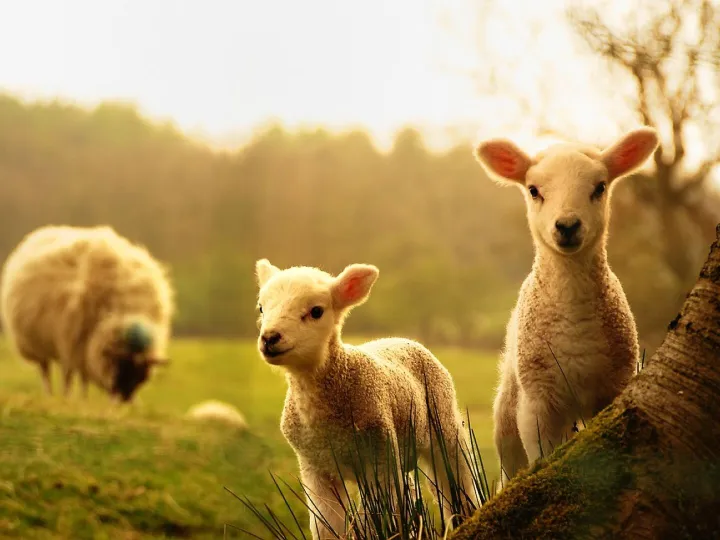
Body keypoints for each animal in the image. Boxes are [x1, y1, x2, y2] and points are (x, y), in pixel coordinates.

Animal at [0, 224, 174, 402]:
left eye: (141, 375)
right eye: (122, 366)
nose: (123, 401)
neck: (128, 311)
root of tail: (42, 232)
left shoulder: (84, 348)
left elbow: (84, 378)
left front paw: (84, 399)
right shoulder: (73, 342)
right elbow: (73, 376)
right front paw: (72, 398)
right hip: (37, 344)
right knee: (46, 371)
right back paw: (51, 395)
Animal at [255, 259, 478, 539]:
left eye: (316, 311)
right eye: (261, 308)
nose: (269, 338)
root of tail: (402, 338)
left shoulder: (379, 459)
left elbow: (377, 519)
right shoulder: (316, 468)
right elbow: (326, 525)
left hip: (444, 425)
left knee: (456, 483)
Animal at [473, 127, 660, 488]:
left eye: (600, 187)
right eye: (533, 190)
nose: (568, 226)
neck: (574, 317)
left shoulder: (612, 389)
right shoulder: (537, 403)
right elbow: (539, 459)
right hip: (508, 414)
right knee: (509, 467)